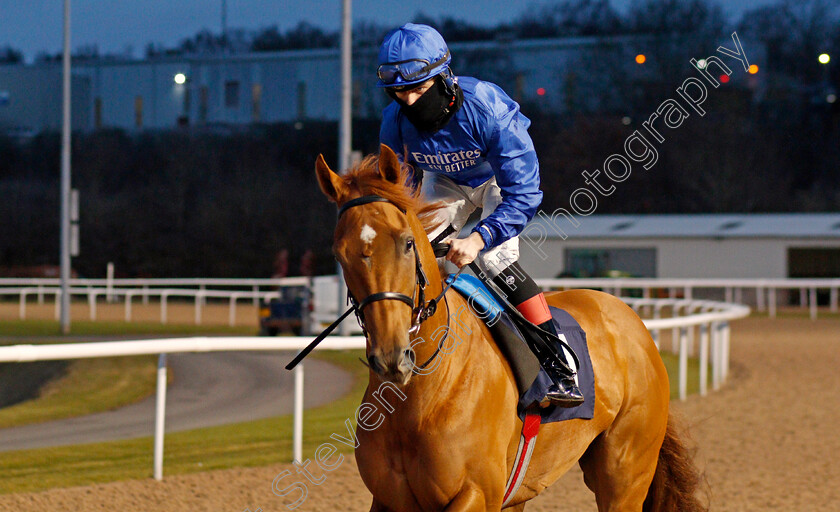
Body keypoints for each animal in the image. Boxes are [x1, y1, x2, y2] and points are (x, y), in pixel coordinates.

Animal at [316, 145, 704, 512]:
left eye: (407, 243)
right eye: (339, 254)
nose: (391, 357)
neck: (421, 393)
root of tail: (630, 318)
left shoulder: (478, 493)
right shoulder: (388, 499)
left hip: (626, 474)